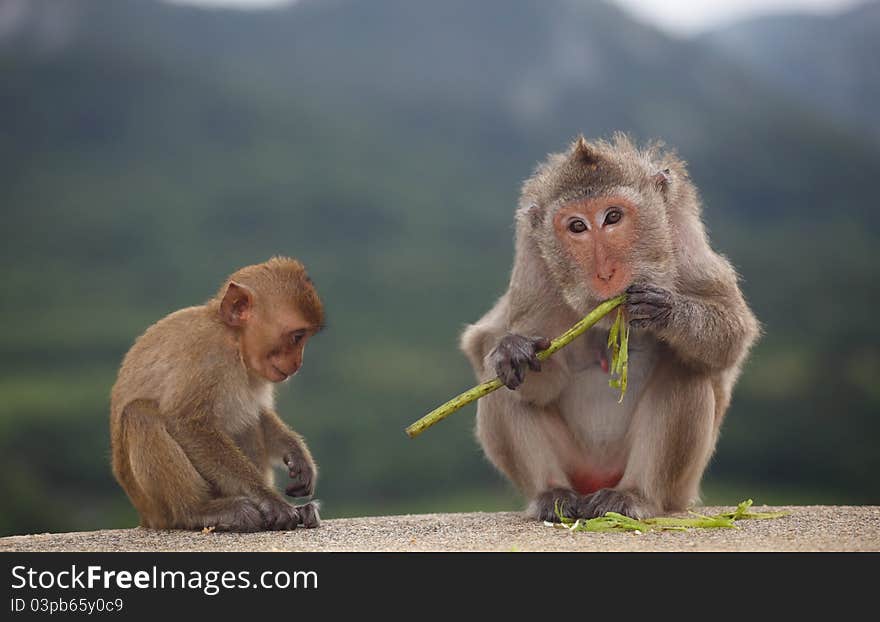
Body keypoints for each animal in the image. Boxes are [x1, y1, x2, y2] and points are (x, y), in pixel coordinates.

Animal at [110, 258, 324, 532]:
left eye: (304, 338)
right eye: (297, 337)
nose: (298, 363)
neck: (233, 339)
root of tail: (146, 517)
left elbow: (258, 413)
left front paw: (297, 455)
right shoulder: (207, 355)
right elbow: (187, 424)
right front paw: (269, 499)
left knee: (246, 419)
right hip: (154, 505)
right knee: (139, 413)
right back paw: (197, 512)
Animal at [460, 135, 756, 520]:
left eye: (612, 217)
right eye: (577, 227)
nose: (605, 273)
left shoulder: (685, 245)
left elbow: (733, 333)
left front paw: (667, 313)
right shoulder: (533, 269)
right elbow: (506, 355)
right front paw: (512, 352)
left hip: (678, 486)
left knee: (685, 370)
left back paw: (634, 495)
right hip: (576, 464)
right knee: (498, 385)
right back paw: (552, 494)